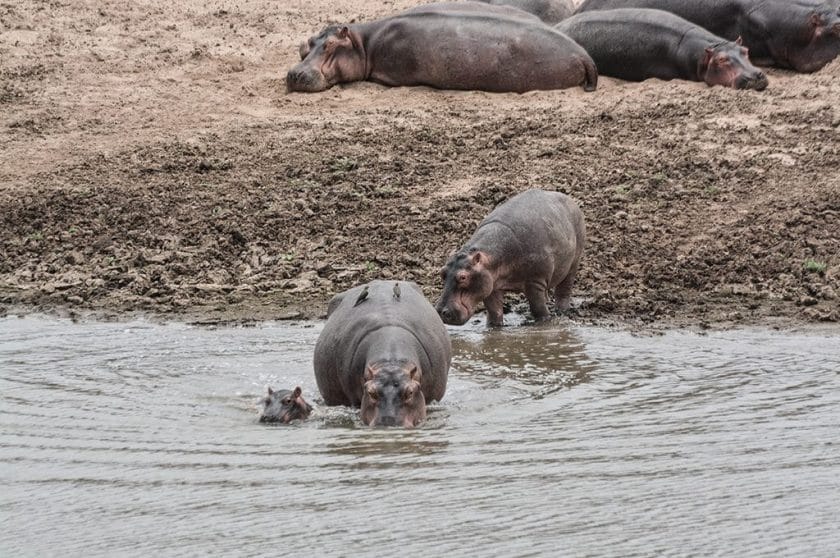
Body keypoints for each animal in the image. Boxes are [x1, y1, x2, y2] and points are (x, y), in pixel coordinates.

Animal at [436, 189, 588, 328]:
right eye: (442, 273)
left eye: (463, 277)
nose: (441, 312)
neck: (491, 256)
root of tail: (569, 199)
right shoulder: (491, 285)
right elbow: (494, 311)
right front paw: (494, 327)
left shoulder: (535, 281)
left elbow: (538, 308)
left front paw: (545, 322)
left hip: (574, 260)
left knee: (565, 287)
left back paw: (561, 310)